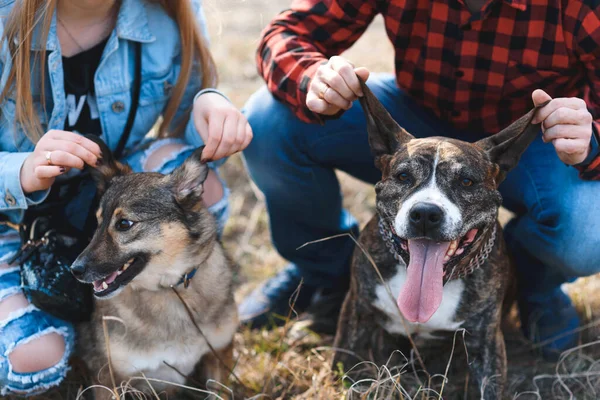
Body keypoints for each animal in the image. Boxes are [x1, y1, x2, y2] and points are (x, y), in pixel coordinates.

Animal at [71, 140, 239, 396]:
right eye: (98, 222)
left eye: (124, 224)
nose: (74, 269)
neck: (169, 288)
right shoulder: (107, 378)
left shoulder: (219, 355)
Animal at [332, 79, 548, 398]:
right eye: (404, 176)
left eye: (466, 182)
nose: (424, 213)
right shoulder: (356, 307)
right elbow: (343, 362)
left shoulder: (487, 342)